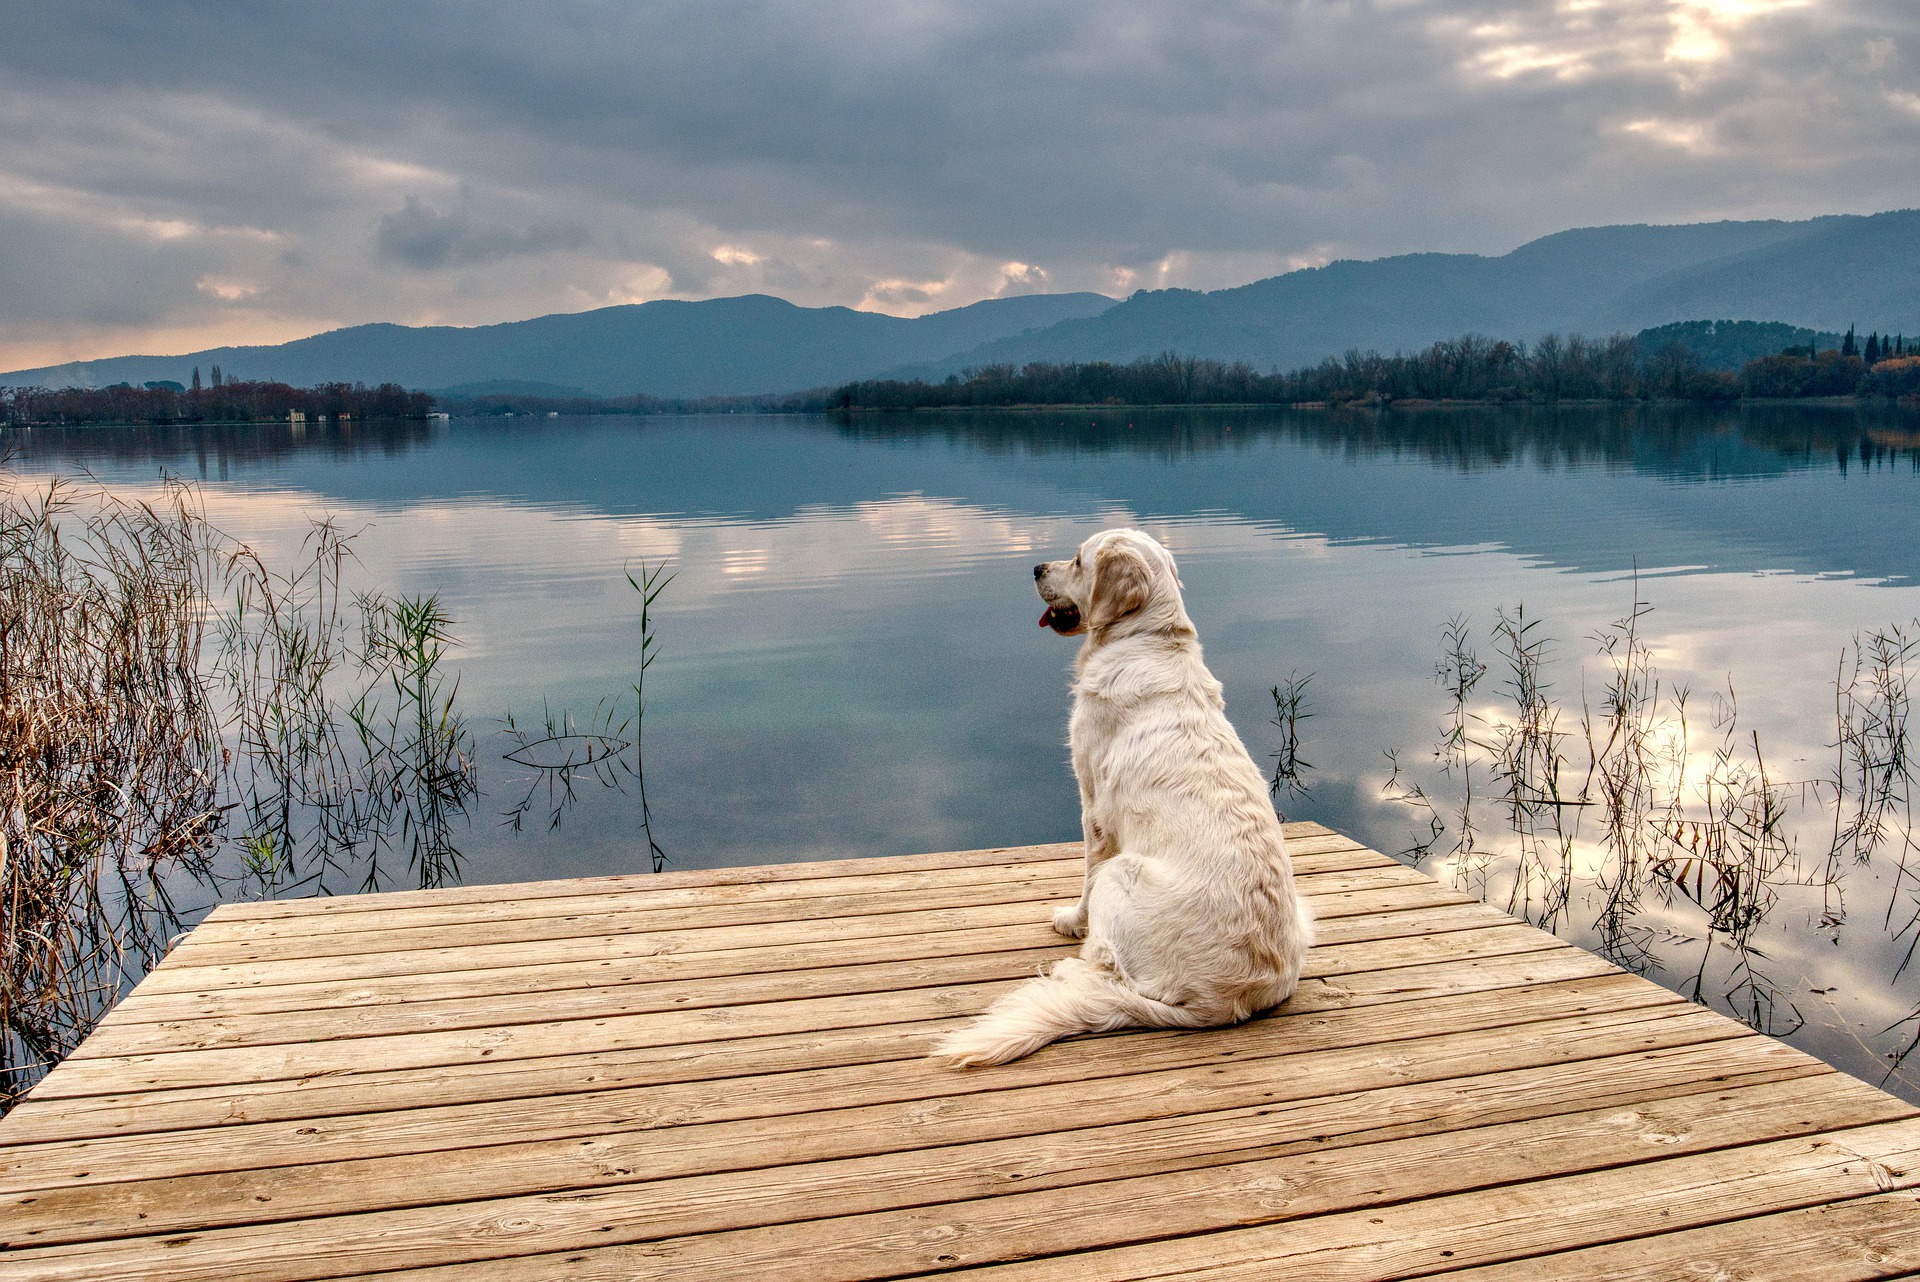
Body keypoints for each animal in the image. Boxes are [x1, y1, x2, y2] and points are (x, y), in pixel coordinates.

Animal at [925, 525, 1313, 1067]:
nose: (1036, 568)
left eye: (1077, 560)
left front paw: (1072, 921)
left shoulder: (1093, 806)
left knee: (1105, 964)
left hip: (1123, 872)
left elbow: (1086, 877)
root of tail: (1222, 1004)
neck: (1148, 640)